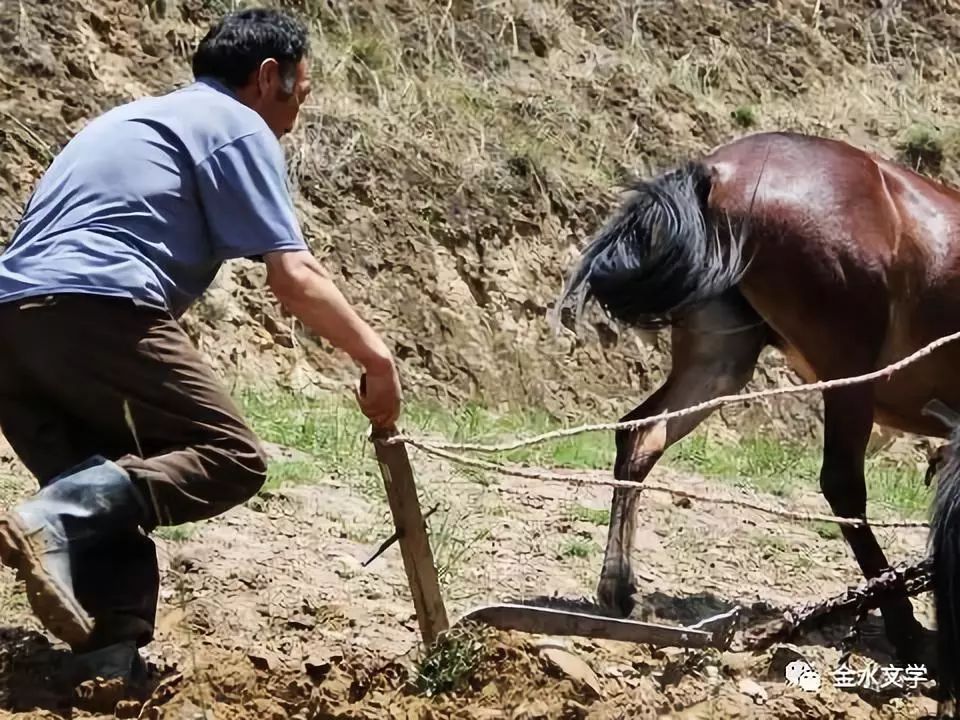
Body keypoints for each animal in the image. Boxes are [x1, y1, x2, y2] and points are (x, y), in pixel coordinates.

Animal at [552, 131, 960, 676]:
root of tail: (717, 170)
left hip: (721, 359)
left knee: (641, 433)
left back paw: (617, 589)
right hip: (849, 366)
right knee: (842, 484)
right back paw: (905, 629)